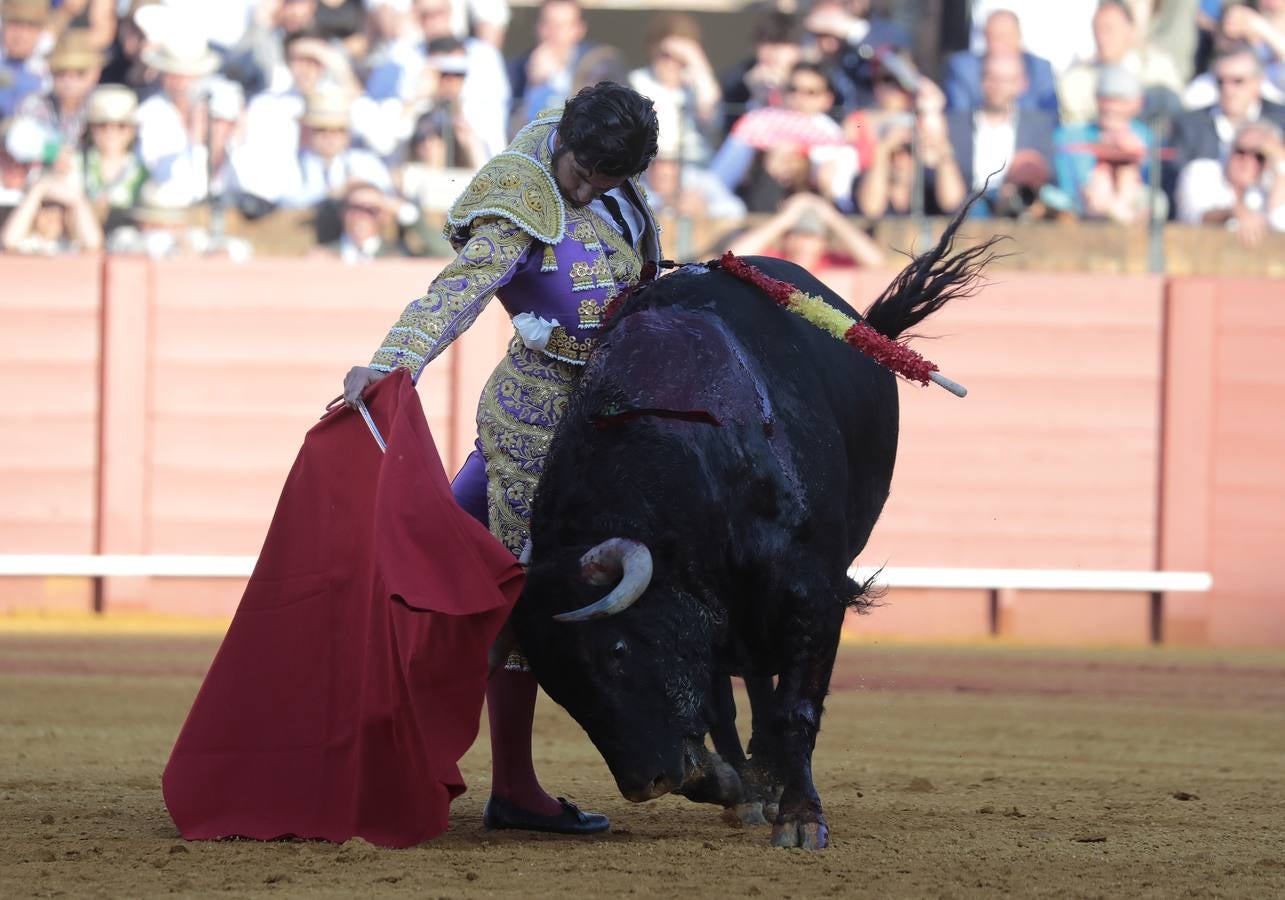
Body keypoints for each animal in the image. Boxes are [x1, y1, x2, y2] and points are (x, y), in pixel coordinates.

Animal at [511, 212, 992, 848]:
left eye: (616, 650)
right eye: (555, 682)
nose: (647, 782)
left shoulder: (814, 592)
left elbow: (797, 706)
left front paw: (801, 818)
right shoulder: (705, 610)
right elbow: (717, 706)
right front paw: (731, 782)